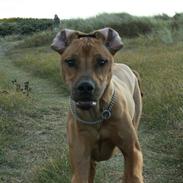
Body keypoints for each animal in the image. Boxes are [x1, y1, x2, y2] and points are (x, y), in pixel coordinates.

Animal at [50, 27, 144, 183]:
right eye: (70, 61)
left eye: (102, 61)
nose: (85, 87)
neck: (96, 115)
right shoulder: (81, 157)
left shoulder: (132, 151)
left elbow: (133, 172)